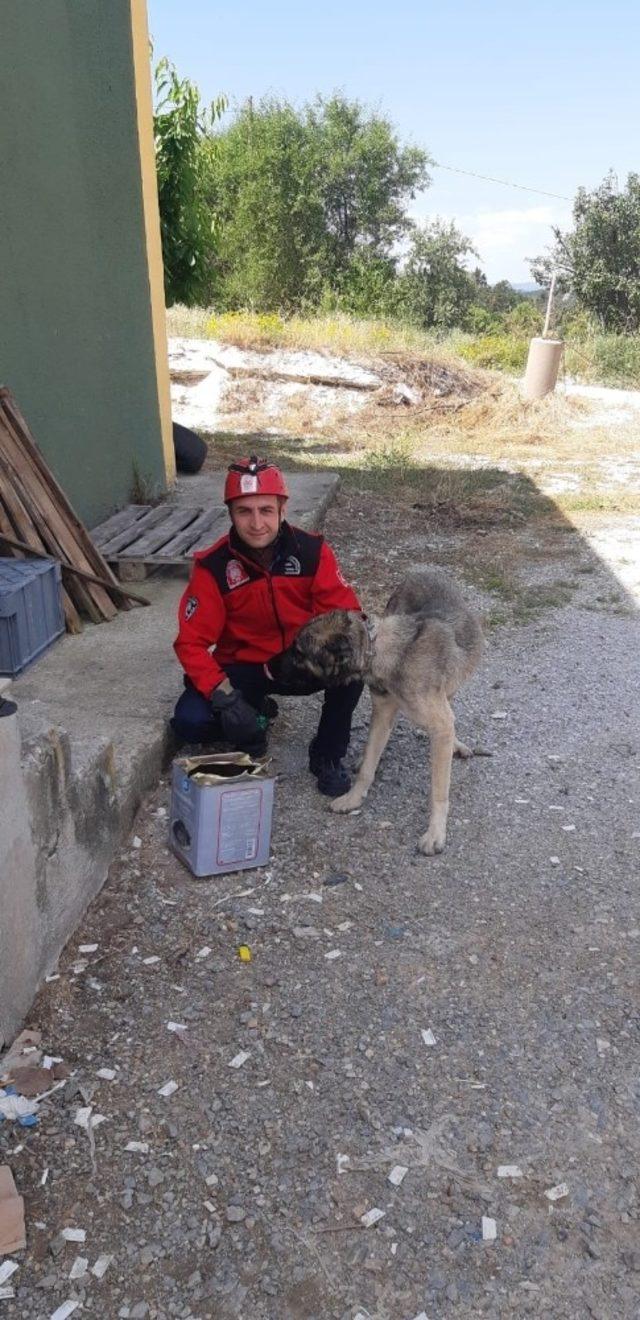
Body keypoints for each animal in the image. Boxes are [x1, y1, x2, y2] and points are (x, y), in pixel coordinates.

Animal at [277, 567, 480, 855]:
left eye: (298, 651)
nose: (268, 665)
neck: (382, 652)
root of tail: (422, 570)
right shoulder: (383, 713)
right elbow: (368, 768)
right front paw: (353, 798)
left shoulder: (439, 724)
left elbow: (439, 790)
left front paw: (435, 833)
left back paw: (454, 744)